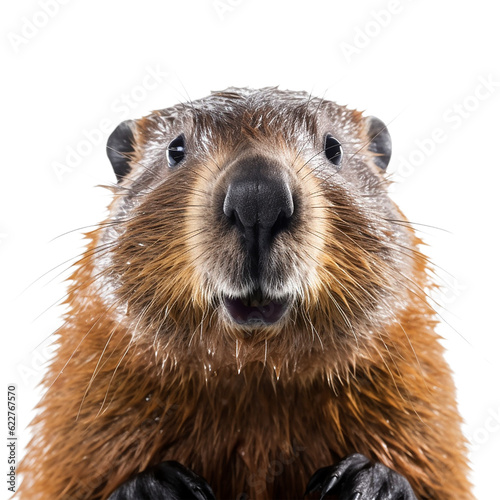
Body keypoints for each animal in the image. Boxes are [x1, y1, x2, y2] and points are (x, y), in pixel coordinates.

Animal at [19, 88, 470, 498]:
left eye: (334, 148)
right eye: (175, 149)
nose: (258, 199)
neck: (255, 376)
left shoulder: (414, 381)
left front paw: (370, 482)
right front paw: (156, 487)